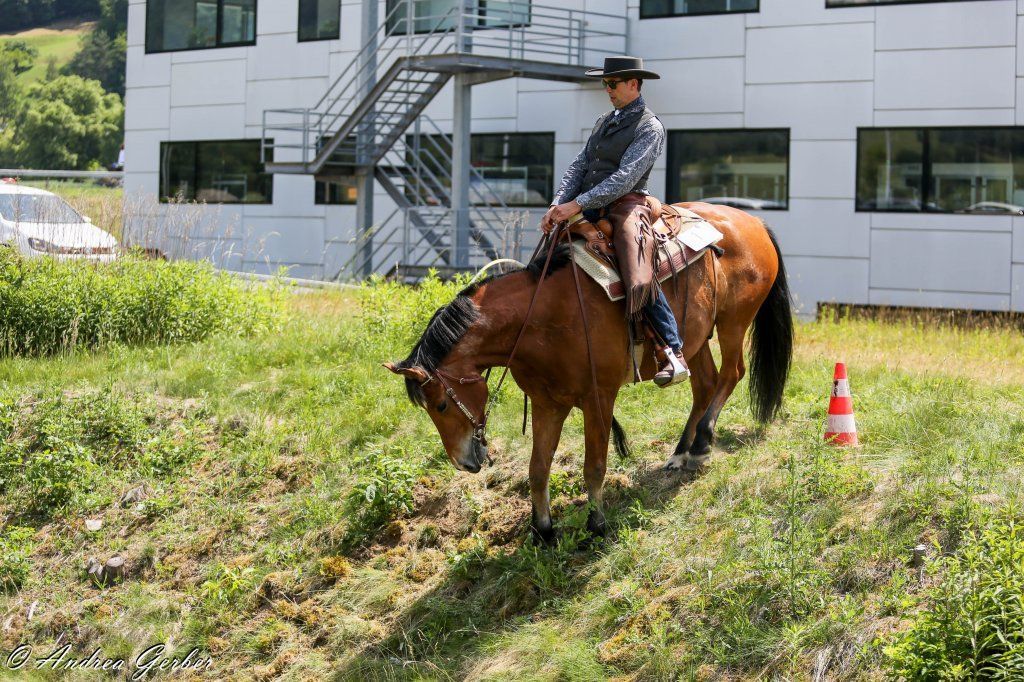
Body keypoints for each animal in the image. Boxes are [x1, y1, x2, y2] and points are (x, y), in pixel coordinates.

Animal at [384, 202, 793, 543]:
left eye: (440, 405)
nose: (463, 462)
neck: (540, 317)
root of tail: (752, 221)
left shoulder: (599, 398)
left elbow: (594, 466)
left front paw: (596, 526)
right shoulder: (547, 404)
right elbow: (537, 468)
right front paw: (543, 531)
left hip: (733, 321)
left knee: (731, 373)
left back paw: (703, 442)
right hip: (694, 337)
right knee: (704, 384)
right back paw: (682, 452)